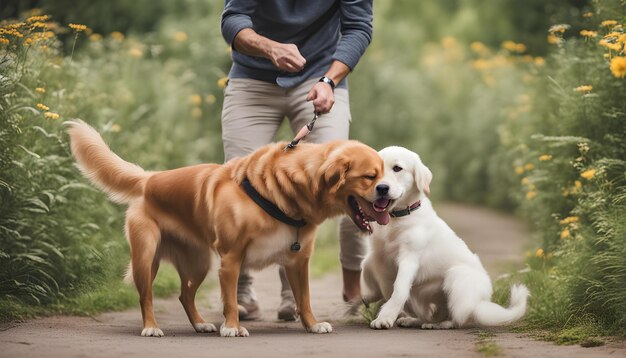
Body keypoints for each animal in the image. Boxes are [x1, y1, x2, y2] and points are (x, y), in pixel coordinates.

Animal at [67, 121, 390, 338]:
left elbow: (305, 299)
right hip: (147, 259)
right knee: (145, 296)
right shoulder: (232, 259)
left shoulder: (298, 261)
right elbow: (232, 301)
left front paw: (311, 325)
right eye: (369, 176)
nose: (388, 191)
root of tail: (149, 179)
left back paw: (200, 324)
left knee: (185, 295)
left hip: (199, 264)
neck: (280, 192)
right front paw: (233, 327)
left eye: (385, 172)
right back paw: (151, 328)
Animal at [358, 146, 528, 330]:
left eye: (397, 168)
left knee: (459, 318)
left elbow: (398, 289)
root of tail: (481, 302)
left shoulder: (409, 257)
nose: (381, 188)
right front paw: (367, 294)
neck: (396, 219)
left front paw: (385, 317)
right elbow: (365, 266)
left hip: (457, 278)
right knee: (431, 314)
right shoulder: (377, 254)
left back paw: (440, 324)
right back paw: (415, 320)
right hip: (421, 295)